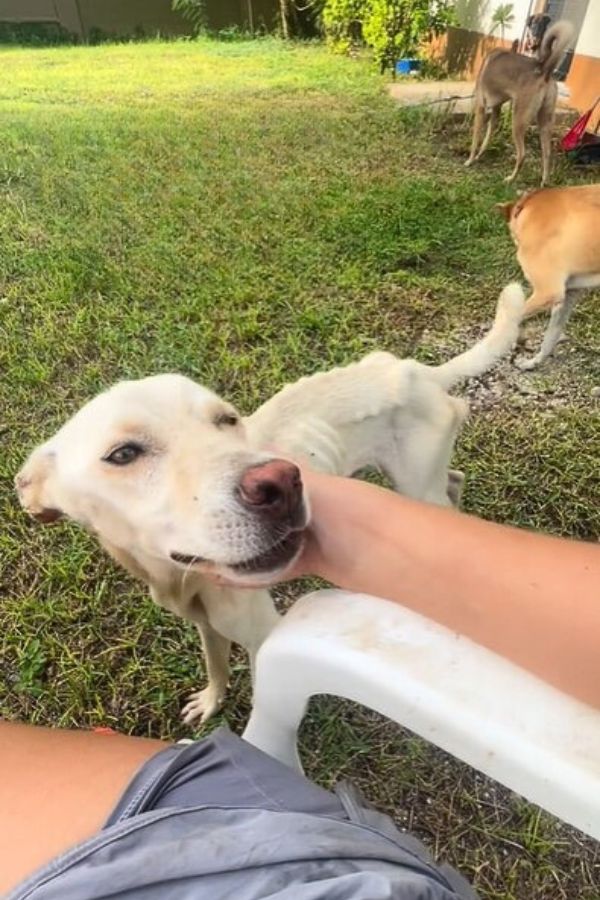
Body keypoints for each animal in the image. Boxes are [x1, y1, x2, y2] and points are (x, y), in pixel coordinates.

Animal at [466, 20, 576, 185]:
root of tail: (544, 70)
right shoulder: (495, 112)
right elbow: (487, 138)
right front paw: (479, 155)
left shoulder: (481, 108)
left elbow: (476, 139)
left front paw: (470, 160)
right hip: (545, 122)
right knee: (547, 154)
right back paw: (544, 183)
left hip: (517, 121)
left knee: (522, 155)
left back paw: (510, 179)